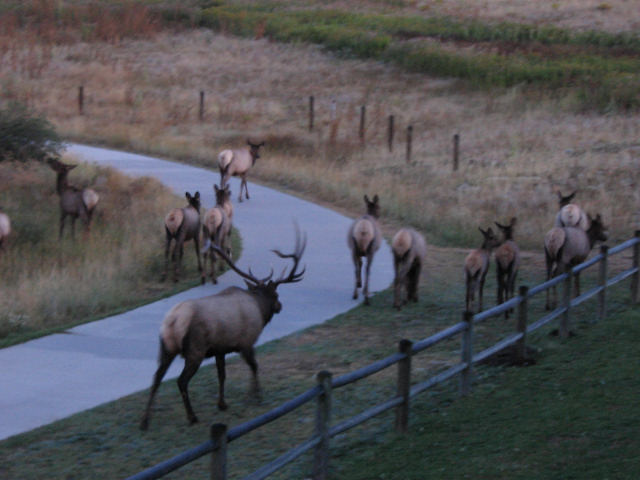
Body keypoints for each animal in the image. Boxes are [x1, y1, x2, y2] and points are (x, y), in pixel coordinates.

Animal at [141, 225, 306, 432]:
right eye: (276, 294)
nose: (280, 306)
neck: (259, 309)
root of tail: (173, 321)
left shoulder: (220, 348)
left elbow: (222, 375)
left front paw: (222, 404)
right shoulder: (246, 342)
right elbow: (254, 366)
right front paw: (256, 395)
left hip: (166, 348)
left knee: (156, 378)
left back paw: (145, 421)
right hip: (195, 350)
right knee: (181, 381)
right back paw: (192, 417)